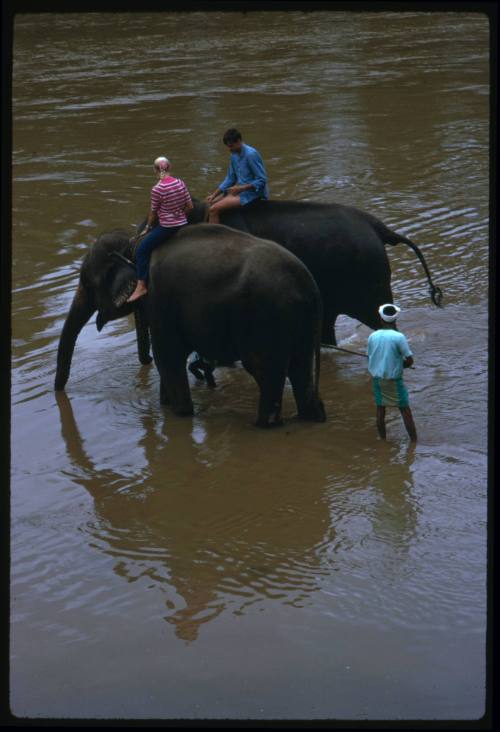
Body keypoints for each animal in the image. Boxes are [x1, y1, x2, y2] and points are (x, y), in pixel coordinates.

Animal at [54, 224, 326, 428]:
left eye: (88, 284)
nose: (59, 393)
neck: (134, 244)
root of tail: (309, 285)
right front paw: (165, 404)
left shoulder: (159, 297)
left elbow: (167, 355)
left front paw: (180, 413)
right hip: (298, 322)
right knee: (300, 367)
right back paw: (311, 415)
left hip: (265, 318)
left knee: (264, 369)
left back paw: (262, 425)